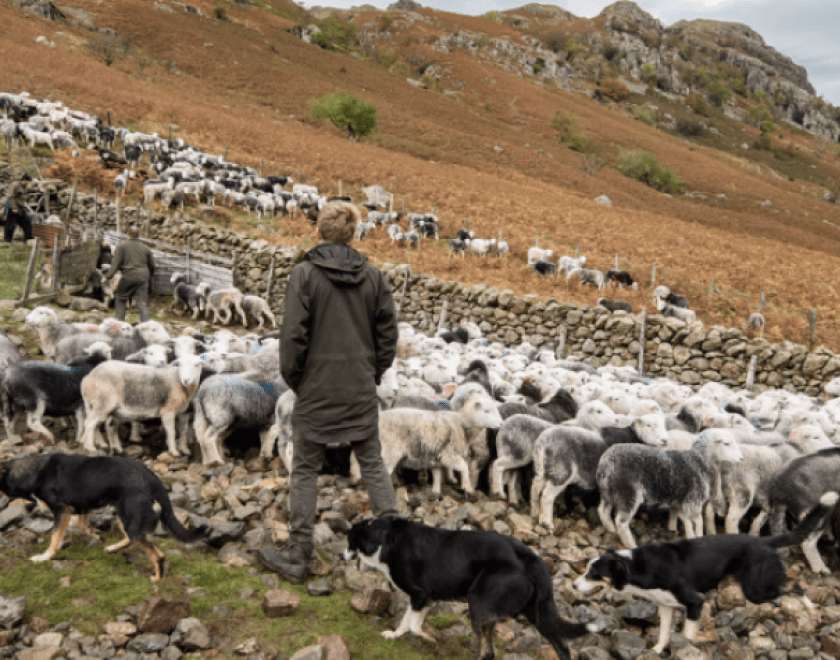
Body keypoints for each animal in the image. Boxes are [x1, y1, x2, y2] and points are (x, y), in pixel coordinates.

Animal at [596, 429, 744, 548]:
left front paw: (679, 531)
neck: (700, 462)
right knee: (621, 522)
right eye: (726, 443)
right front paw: (697, 536)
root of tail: (605, 462)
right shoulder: (694, 500)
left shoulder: (680, 502)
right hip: (627, 493)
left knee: (603, 510)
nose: (741, 459)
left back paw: (610, 530)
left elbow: (684, 521)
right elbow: (698, 522)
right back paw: (630, 544)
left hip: (609, 492)